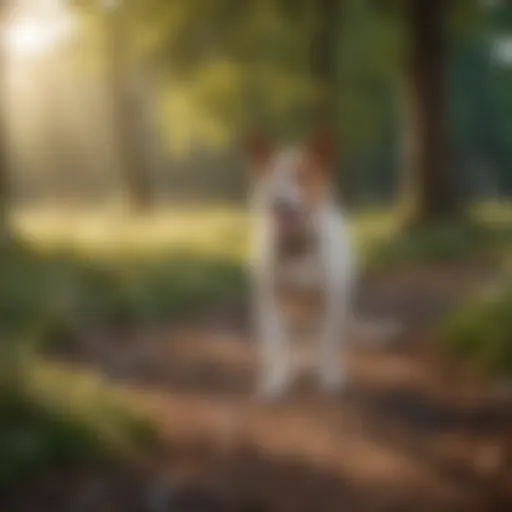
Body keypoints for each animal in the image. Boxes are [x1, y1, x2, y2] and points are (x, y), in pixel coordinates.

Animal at [248, 129, 356, 400]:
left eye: (301, 176)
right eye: (271, 177)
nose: (277, 201)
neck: (297, 247)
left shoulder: (331, 301)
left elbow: (327, 342)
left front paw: (329, 377)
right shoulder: (270, 301)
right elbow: (276, 344)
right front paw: (277, 380)